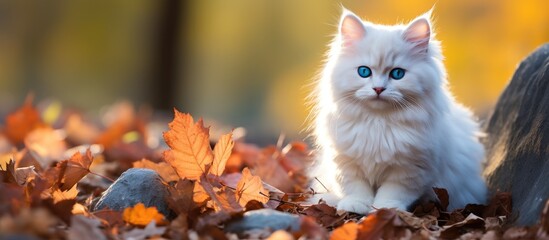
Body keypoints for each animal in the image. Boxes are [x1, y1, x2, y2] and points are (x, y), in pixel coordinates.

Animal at [308, 7, 484, 214]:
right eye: (364, 72)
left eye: (397, 74)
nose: (378, 89)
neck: (377, 122)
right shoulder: (346, 162)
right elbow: (356, 188)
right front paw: (357, 205)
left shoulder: (410, 170)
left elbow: (393, 192)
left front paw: (384, 210)